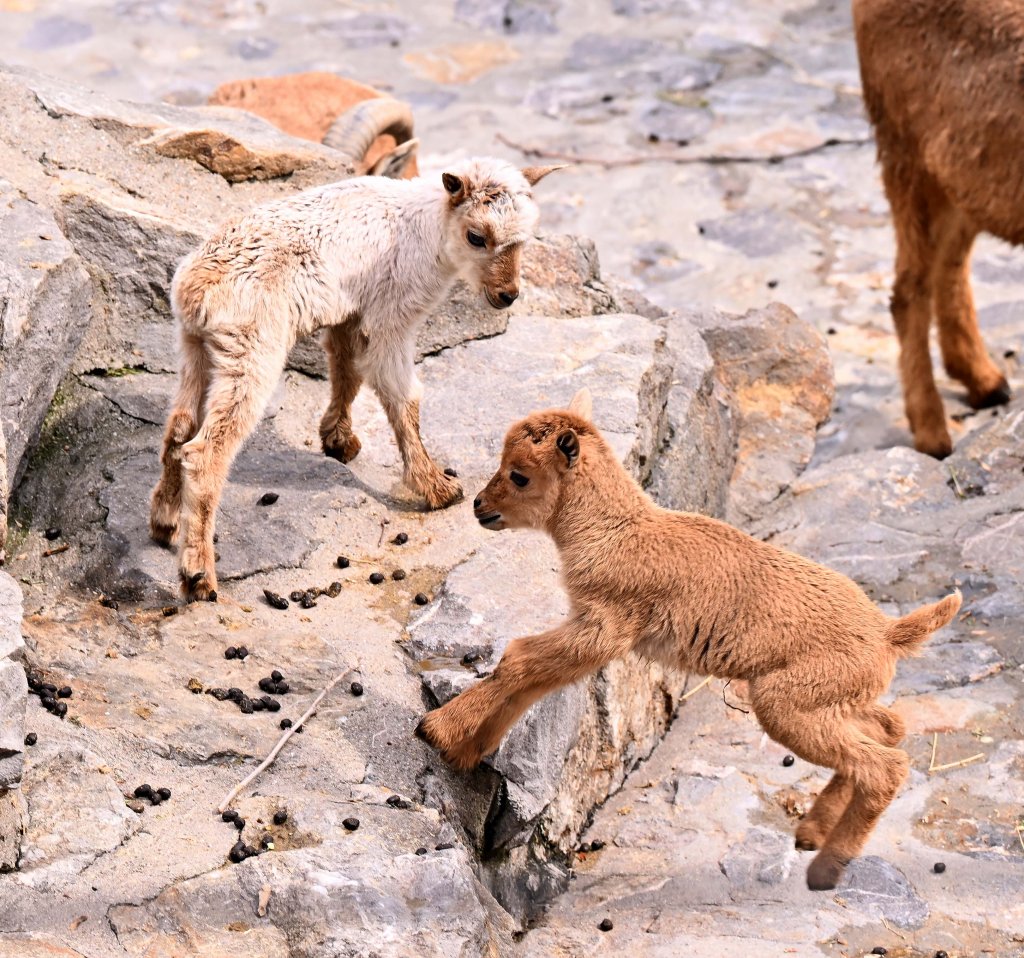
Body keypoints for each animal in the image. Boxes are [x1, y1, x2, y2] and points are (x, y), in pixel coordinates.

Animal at [149, 158, 564, 602]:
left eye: (524, 239)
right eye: (476, 237)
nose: (507, 295)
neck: (426, 228)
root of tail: (197, 288)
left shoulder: (350, 313)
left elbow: (345, 371)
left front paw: (339, 440)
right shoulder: (392, 317)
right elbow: (402, 395)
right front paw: (437, 487)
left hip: (196, 346)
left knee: (179, 430)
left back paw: (163, 524)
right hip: (252, 349)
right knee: (205, 452)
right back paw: (198, 576)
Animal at [415, 388, 961, 891]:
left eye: (519, 474)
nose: (480, 506)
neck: (613, 530)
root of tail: (888, 634)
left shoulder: (607, 628)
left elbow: (518, 658)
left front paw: (437, 730)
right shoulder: (593, 634)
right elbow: (531, 676)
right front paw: (468, 750)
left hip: (787, 703)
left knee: (886, 765)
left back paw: (824, 869)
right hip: (830, 699)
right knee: (888, 727)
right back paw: (810, 831)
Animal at [853, 0, 1022, 458]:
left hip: (962, 174)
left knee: (948, 266)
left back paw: (982, 380)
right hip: (903, 149)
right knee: (909, 288)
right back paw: (931, 430)